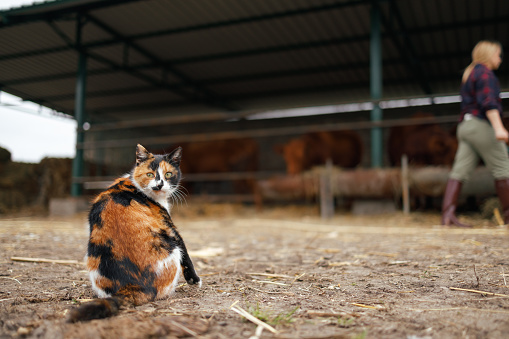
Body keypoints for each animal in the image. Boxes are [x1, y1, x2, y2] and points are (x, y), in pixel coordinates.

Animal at [67, 145, 200, 322]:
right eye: (150, 174)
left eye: (168, 174)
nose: (159, 185)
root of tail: (134, 286)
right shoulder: (168, 225)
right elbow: (185, 252)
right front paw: (195, 280)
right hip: (172, 250)